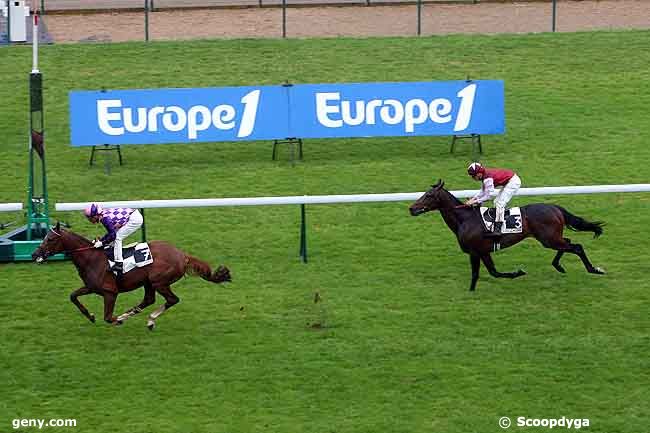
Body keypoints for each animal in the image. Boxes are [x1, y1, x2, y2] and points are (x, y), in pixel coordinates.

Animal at [33, 221, 232, 330]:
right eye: (44, 237)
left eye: (50, 239)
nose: (35, 254)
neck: (92, 258)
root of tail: (182, 255)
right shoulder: (91, 287)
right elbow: (73, 296)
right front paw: (90, 315)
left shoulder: (110, 292)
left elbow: (108, 317)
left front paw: (117, 320)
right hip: (149, 282)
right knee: (149, 300)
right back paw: (136, 315)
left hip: (159, 281)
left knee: (172, 300)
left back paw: (148, 320)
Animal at [408, 179, 604, 290]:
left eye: (429, 195)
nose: (411, 208)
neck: (465, 219)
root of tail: (555, 207)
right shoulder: (483, 252)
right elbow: (493, 272)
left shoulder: (475, 252)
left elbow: (478, 273)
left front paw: (517, 272)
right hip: (552, 238)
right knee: (569, 243)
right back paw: (559, 266)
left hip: (549, 239)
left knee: (576, 247)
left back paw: (594, 269)